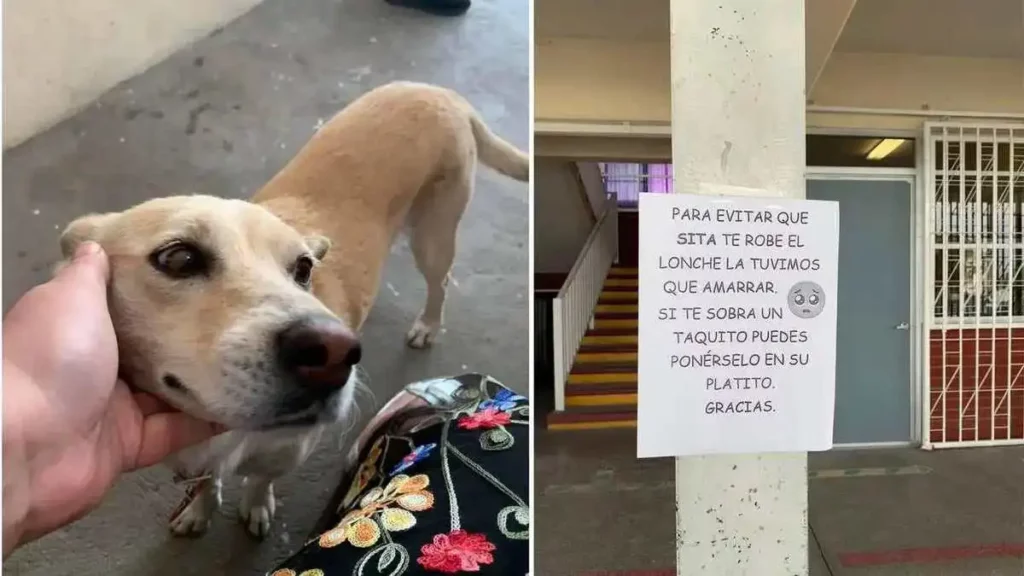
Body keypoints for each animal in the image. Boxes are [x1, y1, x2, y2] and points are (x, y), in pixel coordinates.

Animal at [56, 81, 528, 537]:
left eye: (303, 268)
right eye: (179, 258)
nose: (336, 354)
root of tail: (441, 93)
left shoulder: (286, 453)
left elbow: (260, 480)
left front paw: (255, 506)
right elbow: (207, 483)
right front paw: (199, 510)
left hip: (434, 237)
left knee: (440, 283)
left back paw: (427, 325)